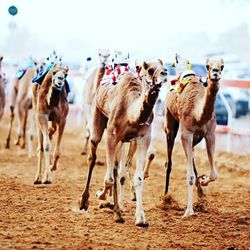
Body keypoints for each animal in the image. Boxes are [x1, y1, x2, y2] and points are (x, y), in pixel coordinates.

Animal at [78, 59, 168, 227]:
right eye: (150, 70)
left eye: (165, 67)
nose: (164, 74)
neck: (131, 114)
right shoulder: (112, 135)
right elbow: (108, 179)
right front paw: (101, 196)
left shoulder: (143, 139)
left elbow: (137, 177)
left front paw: (140, 218)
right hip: (97, 116)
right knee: (92, 158)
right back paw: (85, 201)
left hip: (124, 141)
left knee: (117, 169)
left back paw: (117, 209)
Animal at [164, 58, 225, 217]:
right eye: (208, 66)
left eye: (222, 66)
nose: (215, 73)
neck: (198, 114)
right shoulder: (186, 134)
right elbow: (189, 176)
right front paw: (189, 211)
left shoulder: (210, 134)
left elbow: (214, 174)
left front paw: (203, 182)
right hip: (170, 123)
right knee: (169, 162)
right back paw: (165, 198)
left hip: (196, 138)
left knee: (191, 158)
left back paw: (201, 193)